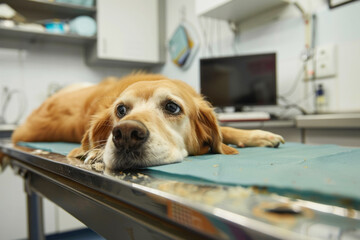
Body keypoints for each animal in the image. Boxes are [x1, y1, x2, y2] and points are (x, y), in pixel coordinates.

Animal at [11, 73, 284, 169]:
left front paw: (258, 135)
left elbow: (224, 128)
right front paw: (97, 152)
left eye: (172, 107)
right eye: (121, 110)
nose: (125, 135)